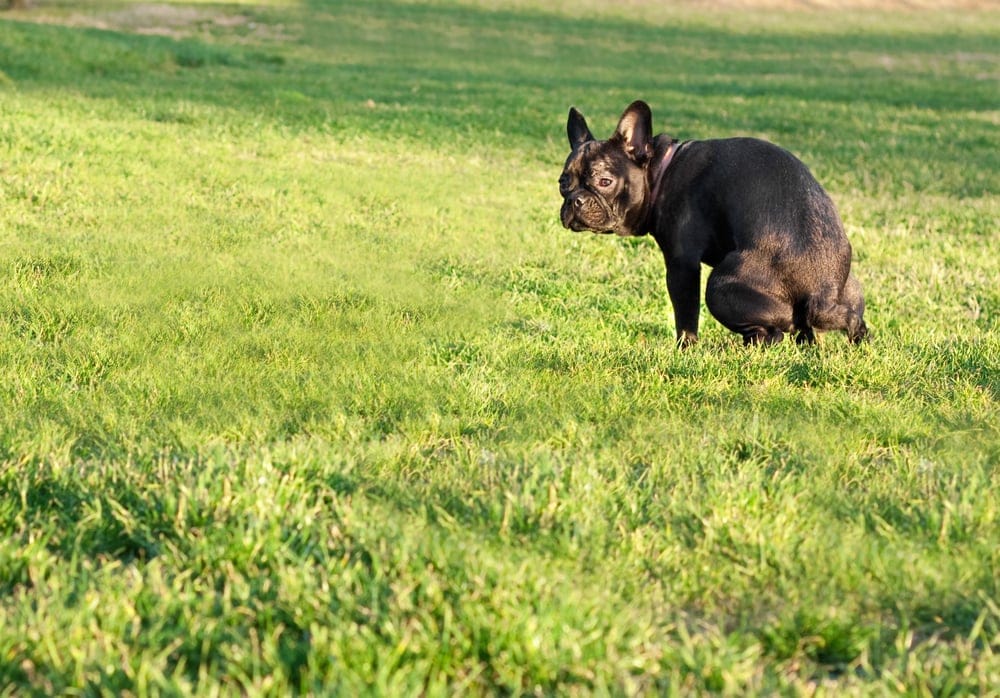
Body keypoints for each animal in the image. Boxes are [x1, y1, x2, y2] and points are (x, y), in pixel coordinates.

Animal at [556, 100, 868, 346]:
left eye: (604, 182)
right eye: (562, 183)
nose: (575, 200)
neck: (660, 170)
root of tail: (823, 293)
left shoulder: (682, 264)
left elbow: (685, 314)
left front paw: (685, 349)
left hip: (720, 287)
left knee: (775, 333)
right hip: (851, 290)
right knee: (846, 322)